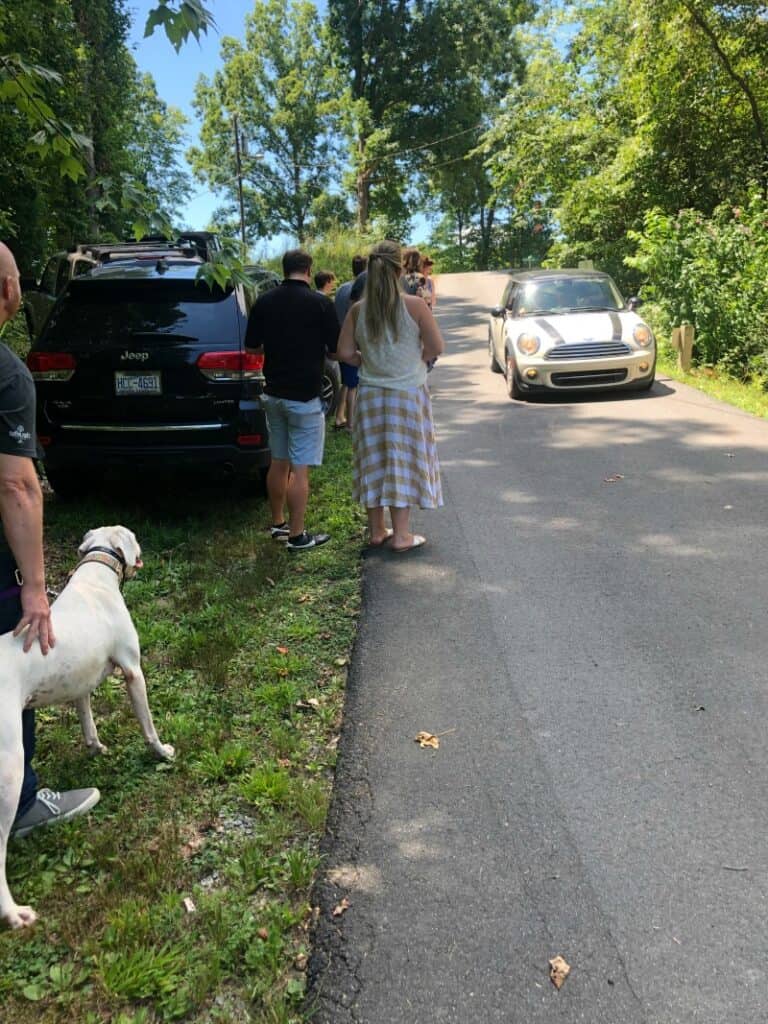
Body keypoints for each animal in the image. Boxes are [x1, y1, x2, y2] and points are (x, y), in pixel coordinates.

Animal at [1, 528, 174, 929]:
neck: (96, 576)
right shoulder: (133, 672)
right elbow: (148, 726)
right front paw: (163, 752)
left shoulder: (79, 680)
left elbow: (86, 716)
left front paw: (95, 747)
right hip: (10, 770)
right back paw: (15, 913)